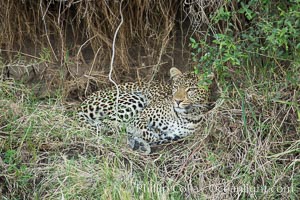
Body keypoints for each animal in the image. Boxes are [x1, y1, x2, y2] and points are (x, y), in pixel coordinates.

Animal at [77, 68, 213, 154]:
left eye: (191, 89)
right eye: (175, 87)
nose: (177, 101)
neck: (185, 115)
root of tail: (81, 105)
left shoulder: (173, 136)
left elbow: (156, 137)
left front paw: (139, 142)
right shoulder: (143, 114)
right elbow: (147, 132)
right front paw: (137, 135)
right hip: (135, 98)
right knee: (107, 122)